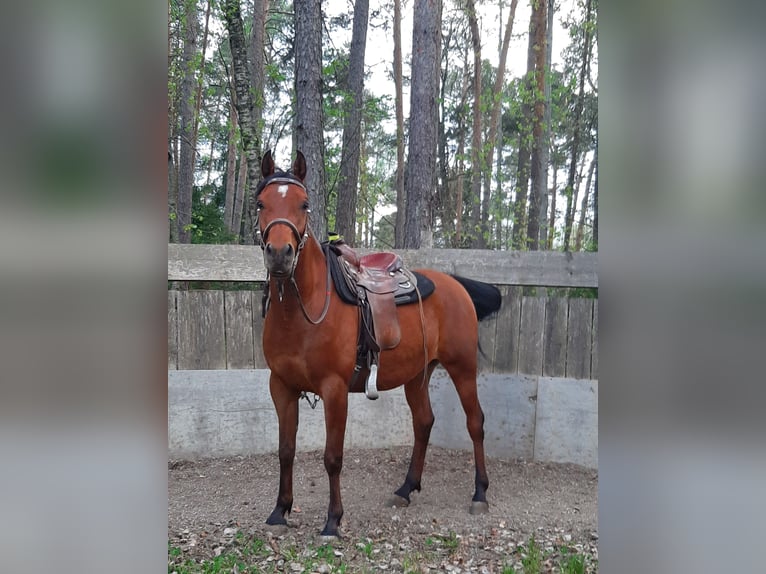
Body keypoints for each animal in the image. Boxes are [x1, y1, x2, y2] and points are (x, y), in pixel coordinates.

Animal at [256, 150, 502, 538]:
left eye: (304, 204)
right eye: (260, 203)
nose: (280, 254)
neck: (304, 310)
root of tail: (456, 285)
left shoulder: (335, 390)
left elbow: (332, 457)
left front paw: (333, 520)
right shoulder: (281, 386)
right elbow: (285, 450)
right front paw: (280, 511)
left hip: (463, 368)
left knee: (475, 422)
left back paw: (479, 493)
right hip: (417, 374)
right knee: (424, 422)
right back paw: (406, 488)